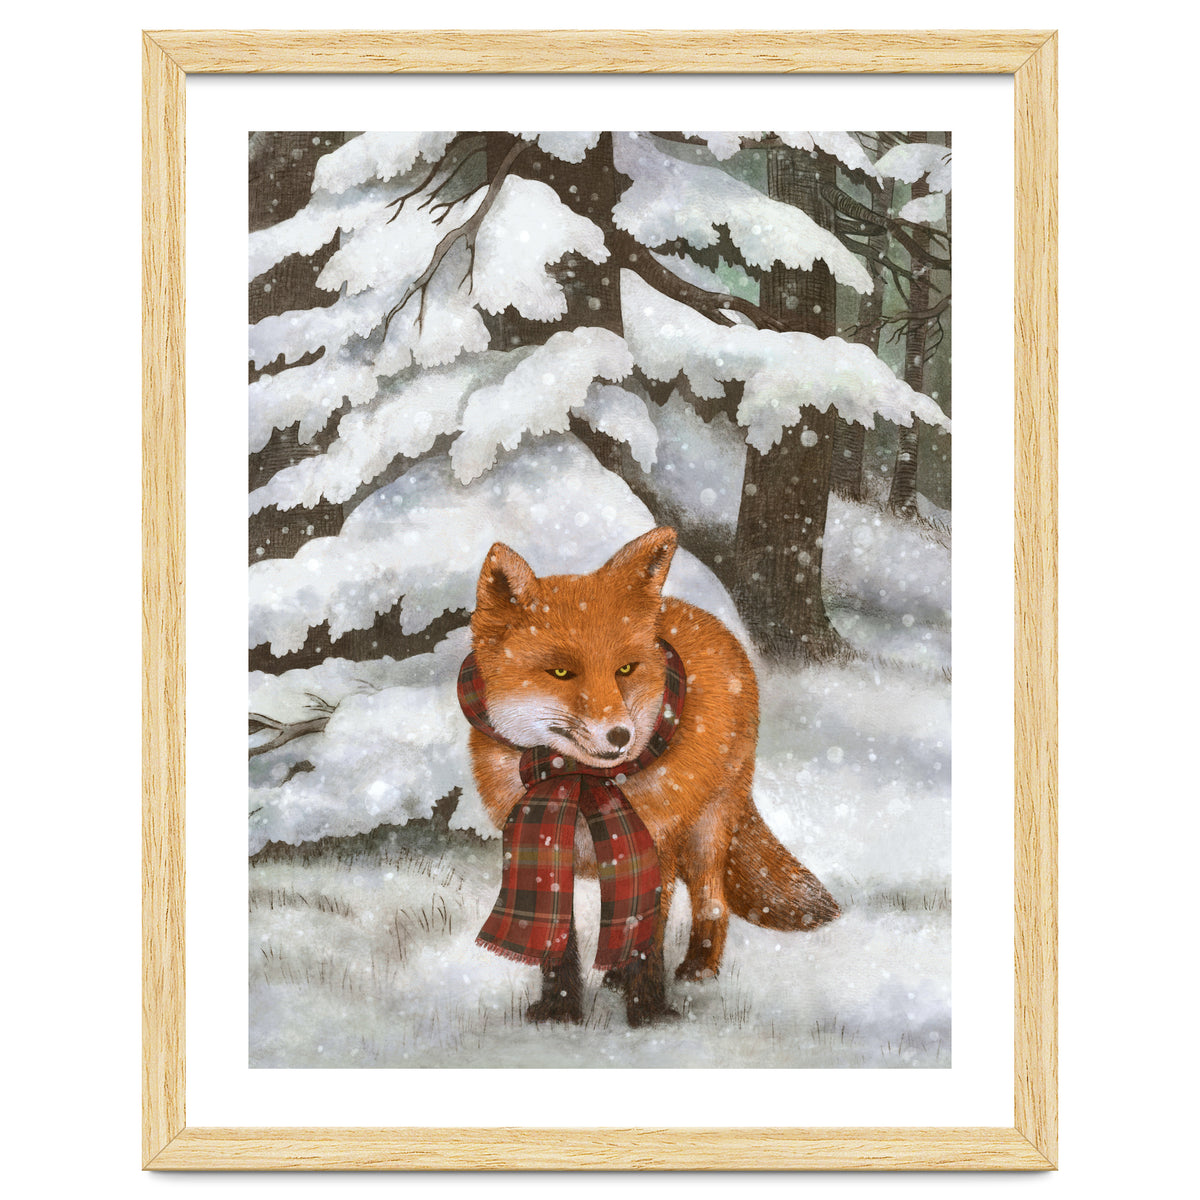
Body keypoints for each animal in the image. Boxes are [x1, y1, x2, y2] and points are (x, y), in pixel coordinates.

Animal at [464, 526, 839, 1027]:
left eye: (625, 669)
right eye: (561, 672)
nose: (620, 735)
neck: (578, 781)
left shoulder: (652, 844)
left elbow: (647, 939)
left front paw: (648, 1015)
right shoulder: (546, 846)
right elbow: (558, 940)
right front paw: (558, 1012)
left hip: (705, 832)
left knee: (711, 902)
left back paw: (698, 969)